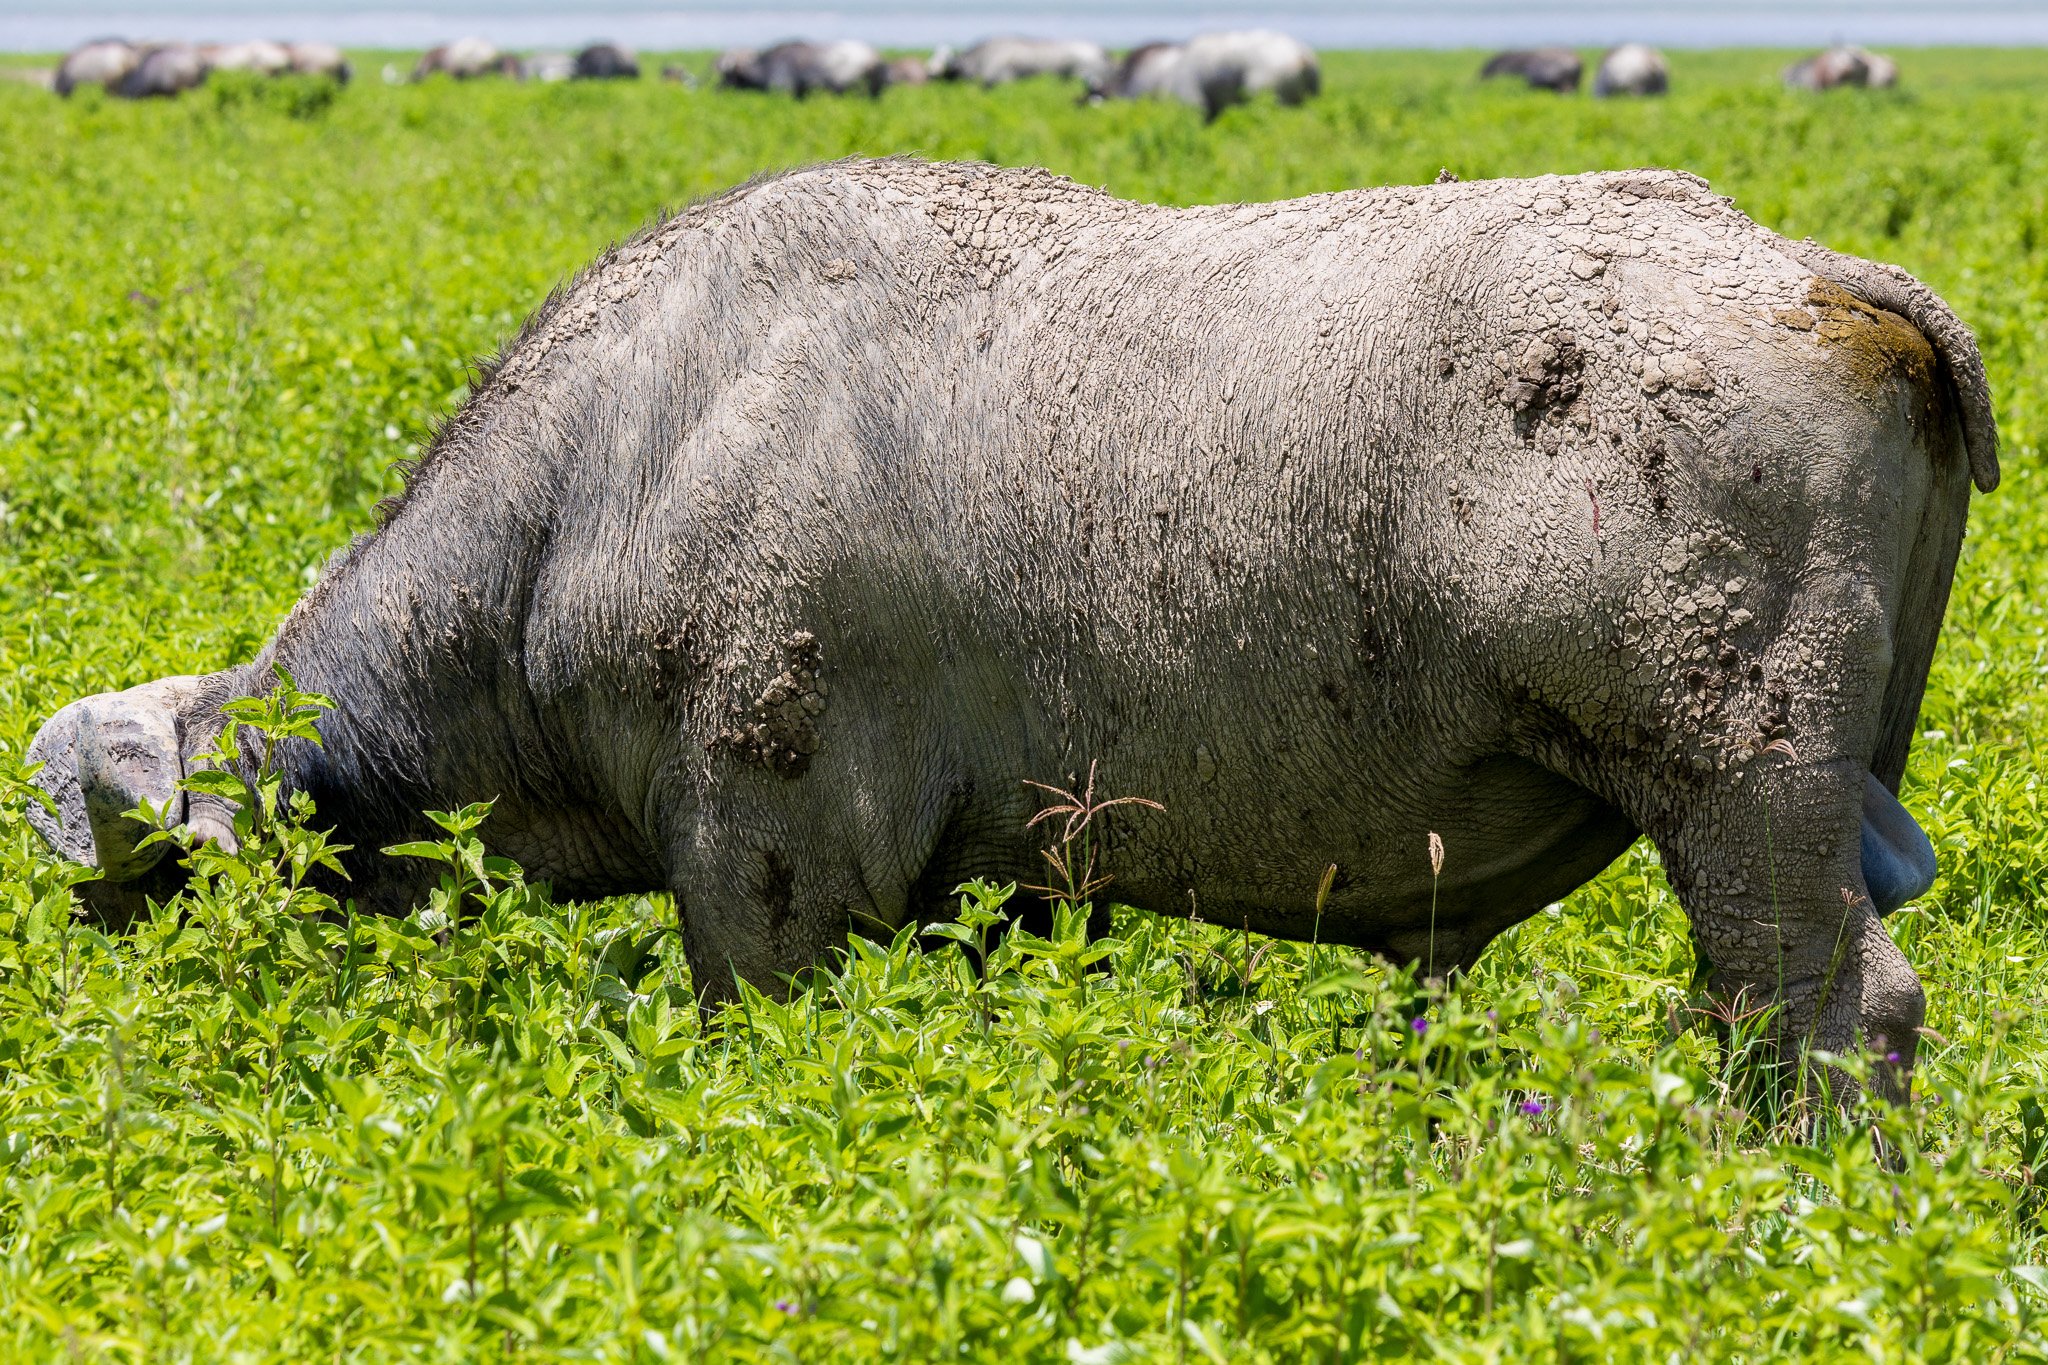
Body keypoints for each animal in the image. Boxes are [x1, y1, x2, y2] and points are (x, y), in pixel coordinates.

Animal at [24, 160, 1990, 1105]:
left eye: (165, 882)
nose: (110, 987)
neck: (607, 473)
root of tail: (1815, 279)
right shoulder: (993, 889)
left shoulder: (764, 873)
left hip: (1741, 801)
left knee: (1831, 1019)